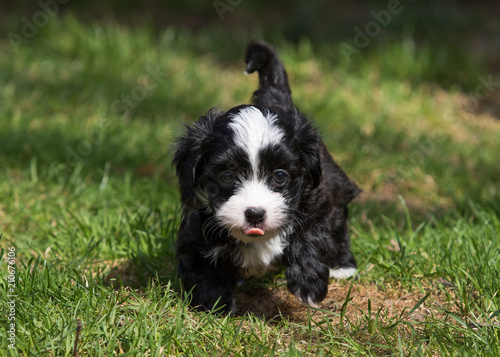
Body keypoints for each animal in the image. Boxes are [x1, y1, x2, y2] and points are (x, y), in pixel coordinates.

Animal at [173, 39, 360, 312]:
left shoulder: (317, 198)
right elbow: (201, 265)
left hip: (334, 181)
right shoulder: (196, 224)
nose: (254, 214)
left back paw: (343, 264)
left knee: (339, 218)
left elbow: (311, 234)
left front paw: (308, 283)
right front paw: (215, 304)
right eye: (227, 177)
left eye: (279, 177)